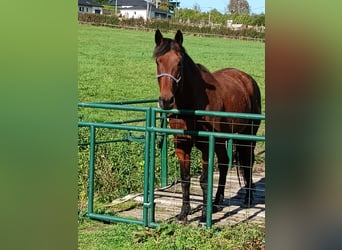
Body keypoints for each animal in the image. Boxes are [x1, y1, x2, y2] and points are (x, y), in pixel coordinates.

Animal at [153, 29, 262, 223]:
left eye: (179, 62)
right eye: (158, 61)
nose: (166, 101)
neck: (192, 102)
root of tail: (247, 80)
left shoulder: (205, 146)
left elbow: (204, 180)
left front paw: (204, 216)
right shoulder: (182, 144)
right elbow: (185, 179)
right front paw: (183, 213)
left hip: (247, 137)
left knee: (248, 162)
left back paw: (248, 199)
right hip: (221, 140)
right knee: (224, 163)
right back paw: (217, 202)